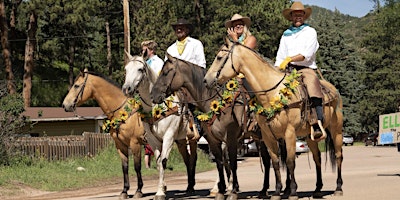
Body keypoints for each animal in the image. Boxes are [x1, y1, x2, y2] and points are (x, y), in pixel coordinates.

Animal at [64, 69, 147, 199]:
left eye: (76, 86)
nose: (65, 105)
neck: (123, 112)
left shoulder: (135, 144)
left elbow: (137, 166)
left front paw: (139, 191)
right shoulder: (120, 145)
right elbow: (125, 167)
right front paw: (124, 191)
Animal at [121, 53, 198, 200]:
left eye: (140, 69)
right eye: (126, 69)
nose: (126, 89)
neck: (156, 107)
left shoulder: (168, 136)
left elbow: (163, 161)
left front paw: (161, 192)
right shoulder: (153, 140)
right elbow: (158, 163)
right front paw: (162, 188)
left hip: (194, 139)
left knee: (195, 158)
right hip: (181, 140)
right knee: (187, 159)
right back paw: (189, 186)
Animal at [150, 53, 276, 200]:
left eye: (165, 72)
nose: (153, 95)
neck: (215, 101)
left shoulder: (231, 139)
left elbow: (232, 163)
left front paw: (233, 191)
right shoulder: (213, 140)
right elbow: (219, 163)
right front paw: (221, 191)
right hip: (259, 137)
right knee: (266, 160)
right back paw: (263, 190)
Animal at [203, 38, 344, 200]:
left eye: (219, 57)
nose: (206, 80)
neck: (272, 93)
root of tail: (333, 89)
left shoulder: (289, 133)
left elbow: (289, 162)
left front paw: (293, 192)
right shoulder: (267, 136)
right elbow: (275, 162)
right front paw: (277, 192)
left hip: (336, 130)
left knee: (338, 155)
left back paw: (338, 188)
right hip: (310, 135)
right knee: (317, 157)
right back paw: (318, 189)